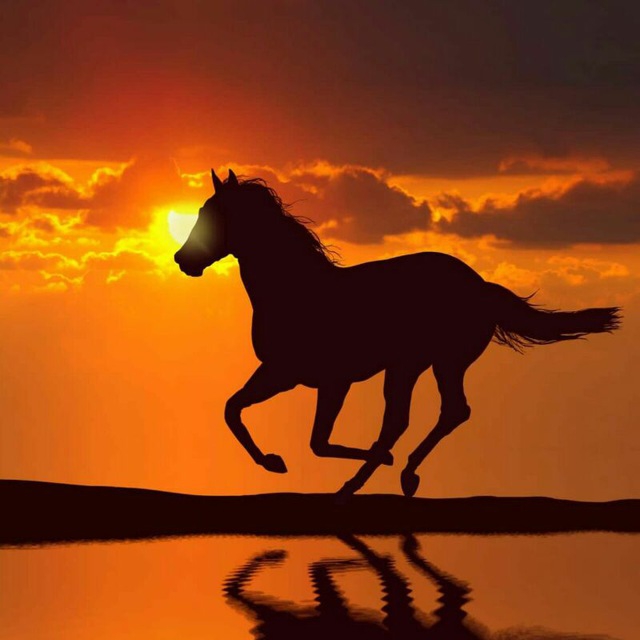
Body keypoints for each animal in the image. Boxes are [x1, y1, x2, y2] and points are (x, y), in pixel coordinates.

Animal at [174, 169, 621, 499]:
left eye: (215, 216)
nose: (182, 260)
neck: (296, 291)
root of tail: (480, 286)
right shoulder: (280, 373)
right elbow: (233, 409)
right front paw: (273, 461)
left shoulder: (329, 379)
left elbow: (316, 441)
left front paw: (284, 461)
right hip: (419, 365)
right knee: (427, 415)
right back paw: (393, 475)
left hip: (430, 363)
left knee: (430, 415)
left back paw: (380, 477)